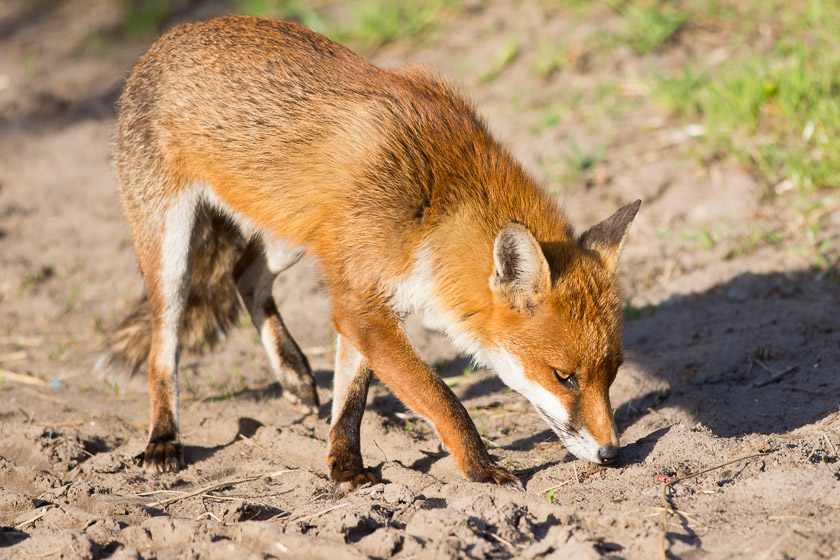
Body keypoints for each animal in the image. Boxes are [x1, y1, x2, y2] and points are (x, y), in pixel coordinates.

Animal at [95, 15, 640, 488]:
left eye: (612, 375)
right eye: (564, 377)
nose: (612, 455)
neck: (437, 204)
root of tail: (172, 34)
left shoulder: (359, 298)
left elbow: (352, 395)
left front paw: (345, 465)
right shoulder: (362, 302)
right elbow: (444, 401)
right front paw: (481, 469)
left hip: (291, 234)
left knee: (244, 276)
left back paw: (293, 374)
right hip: (170, 253)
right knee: (163, 347)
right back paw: (164, 440)